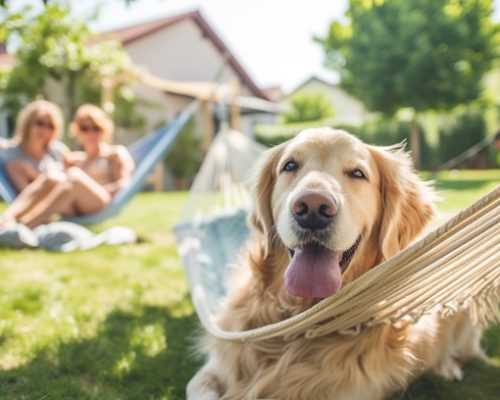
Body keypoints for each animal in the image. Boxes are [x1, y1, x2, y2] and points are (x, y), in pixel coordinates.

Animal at [188, 129, 484, 400]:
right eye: (290, 166)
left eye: (357, 173)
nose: (312, 207)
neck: (299, 320)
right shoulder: (216, 365)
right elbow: (198, 387)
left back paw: (447, 368)